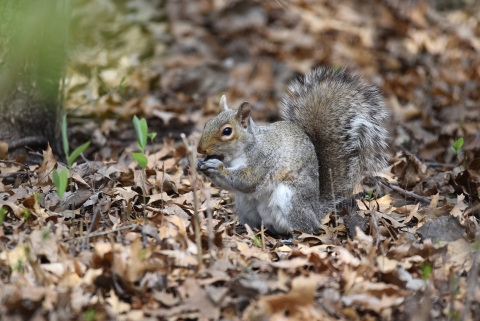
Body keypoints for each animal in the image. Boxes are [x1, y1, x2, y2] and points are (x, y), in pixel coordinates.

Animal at [197, 67, 388, 235]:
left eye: (227, 131)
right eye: (207, 123)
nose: (200, 149)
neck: (240, 152)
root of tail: (315, 211)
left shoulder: (263, 159)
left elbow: (248, 181)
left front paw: (216, 167)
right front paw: (201, 164)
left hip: (290, 199)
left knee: (305, 228)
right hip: (245, 206)